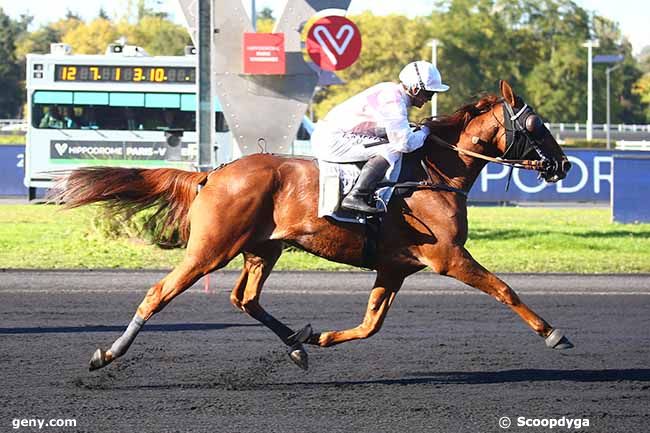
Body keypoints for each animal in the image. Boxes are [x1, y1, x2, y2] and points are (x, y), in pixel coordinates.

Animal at [55, 81, 572, 372]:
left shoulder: (394, 267)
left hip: (263, 248)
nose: (564, 164)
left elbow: (371, 324)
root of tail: (213, 173)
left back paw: (296, 344)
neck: (433, 174)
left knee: (245, 299)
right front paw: (553, 333)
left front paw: (319, 338)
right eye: (536, 124)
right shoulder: (447, 256)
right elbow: (504, 289)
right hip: (211, 249)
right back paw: (107, 355)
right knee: (159, 292)